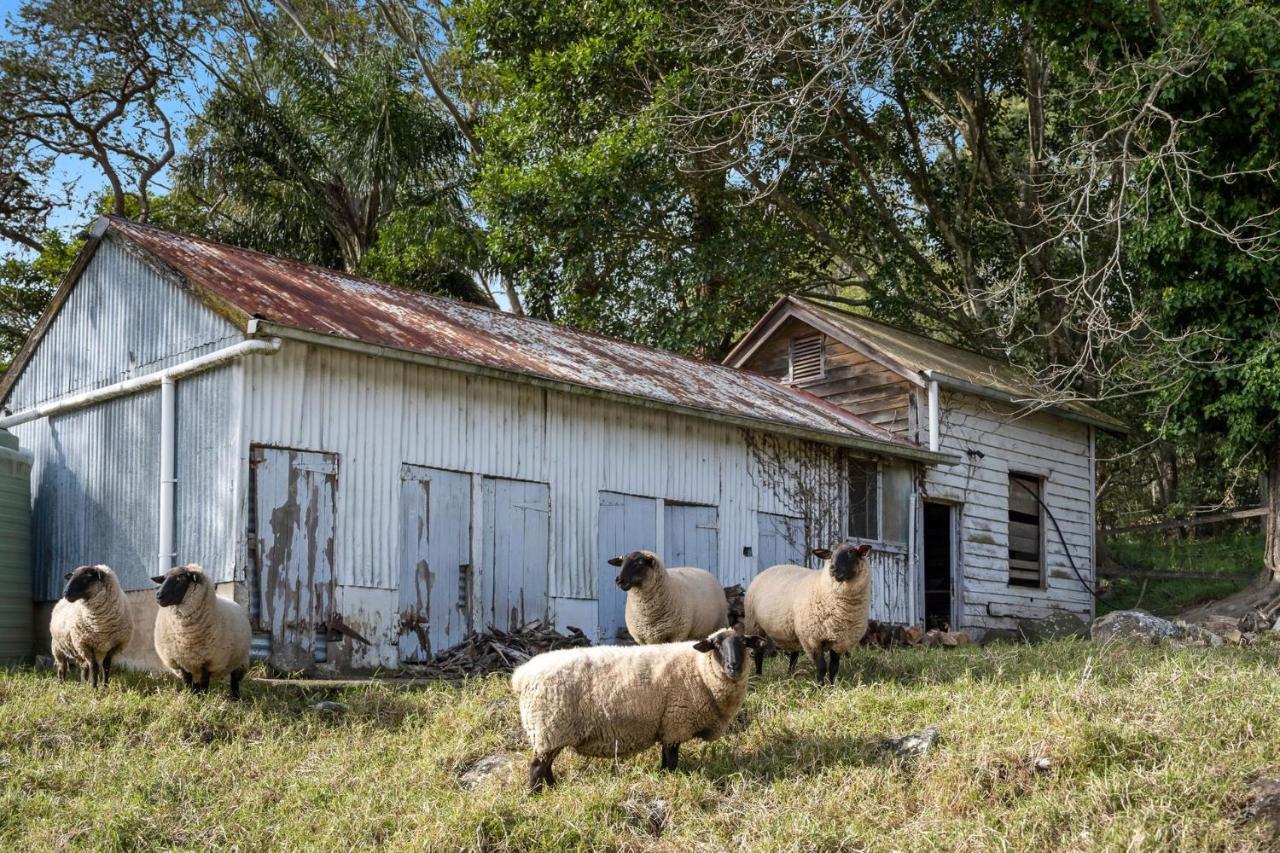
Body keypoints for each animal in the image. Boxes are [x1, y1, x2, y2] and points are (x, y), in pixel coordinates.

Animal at [151, 560, 252, 696]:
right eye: (163, 579)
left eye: (181, 578)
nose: (158, 596)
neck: (184, 635)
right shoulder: (180, 660)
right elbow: (187, 681)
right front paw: (190, 696)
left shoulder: (209, 661)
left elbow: (204, 682)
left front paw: (203, 697)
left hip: (240, 662)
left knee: (234, 682)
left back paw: (236, 697)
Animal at [509, 622, 757, 788]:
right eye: (716, 645)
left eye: (744, 643)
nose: (734, 666)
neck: (699, 669)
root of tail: (521, 676)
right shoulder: (675, 723)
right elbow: (671, 760)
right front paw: (670, 779)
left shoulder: (667, 725)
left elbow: (666, 759)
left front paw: (663, 777)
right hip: (549, 728)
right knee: (537, 767)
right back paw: (535, 794)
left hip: (550, 732)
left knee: (546, 765)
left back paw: (553, 788)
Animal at [747, 540, 875, 686]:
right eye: (831, 554)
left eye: (851, 552)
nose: (833, 569)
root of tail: (769, 568)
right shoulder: (812, 639)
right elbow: (822, 667)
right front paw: (820, 687)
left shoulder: (839, 640)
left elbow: (834, 667)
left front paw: (832, 687)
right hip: (756, 625)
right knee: (758, 653)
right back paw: (758, 676)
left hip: (793, 632)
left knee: (793, 655)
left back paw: (790, 676)